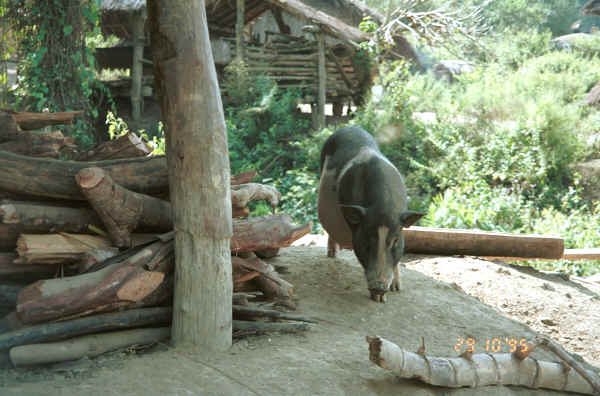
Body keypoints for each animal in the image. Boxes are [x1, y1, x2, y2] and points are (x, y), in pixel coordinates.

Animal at [316, 127, 424, 304]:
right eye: (366, 239)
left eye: (395, 240)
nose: (379, 287)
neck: (382, 207)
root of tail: (348, 127)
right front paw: (379, 298)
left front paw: (396, 289)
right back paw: (332, 255)